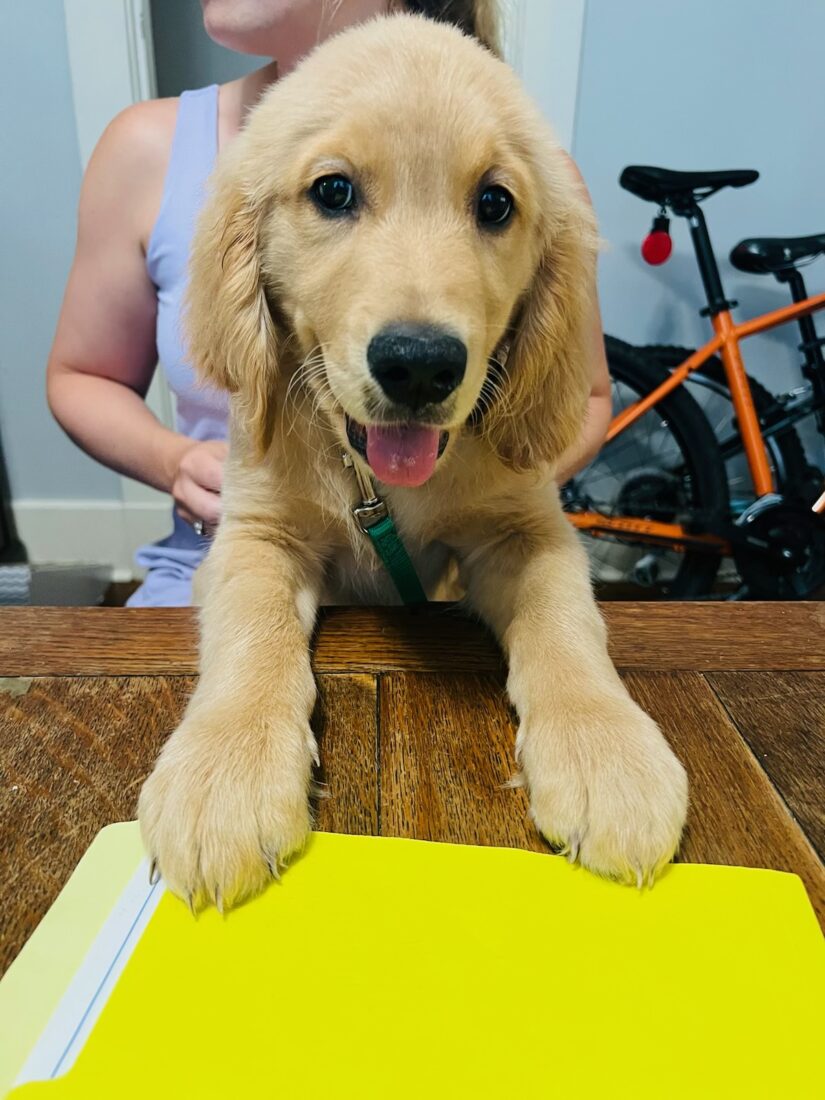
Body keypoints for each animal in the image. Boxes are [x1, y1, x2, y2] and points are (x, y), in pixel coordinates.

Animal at [137, 15, 690, 910]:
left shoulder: (525, 531)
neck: (377, 483)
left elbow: (567, 623)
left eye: (495, 203)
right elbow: (251, 629)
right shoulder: (255, 533)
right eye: (332, 192)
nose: (421, 365)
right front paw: (224, 774)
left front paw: (608, 753)